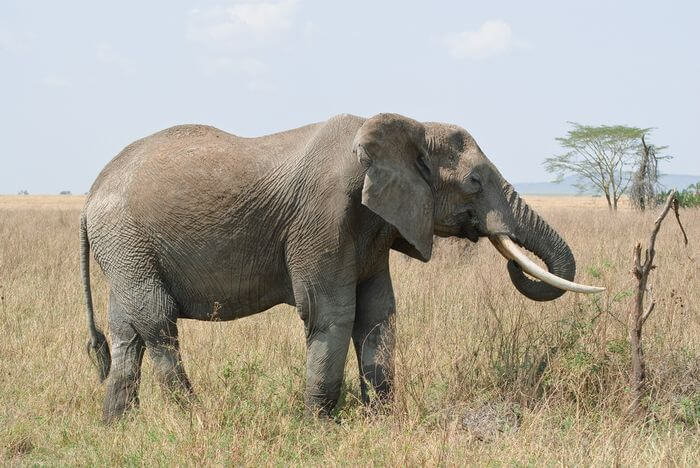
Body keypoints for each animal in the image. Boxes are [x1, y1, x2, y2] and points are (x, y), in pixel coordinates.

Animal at [80, 113, 603, 423]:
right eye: (474, 181)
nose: (513, 258)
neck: (406, 125)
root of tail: (92, 191)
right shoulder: (322, 216)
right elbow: (331, 312)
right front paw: (320, 425)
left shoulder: (374, 225)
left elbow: (377, 313)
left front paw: (382, 420)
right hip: (127, 238)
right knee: (158, 323)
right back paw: (192, 417)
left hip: (125, 249)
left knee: (127, 331)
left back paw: (117, 426)